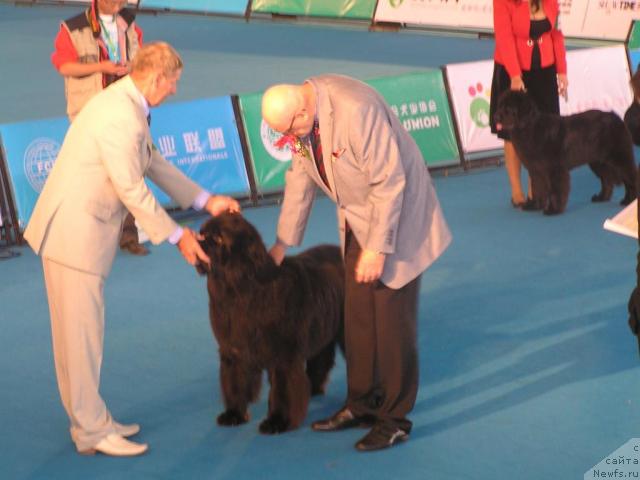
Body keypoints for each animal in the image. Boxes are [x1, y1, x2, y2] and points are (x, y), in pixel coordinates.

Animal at [195, 214, 344, 436]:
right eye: (203, 233)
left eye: (218, 238)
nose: (195, 241)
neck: (239, 289)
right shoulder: (233, 349)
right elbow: (234, 381)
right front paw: (233, 414)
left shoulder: (283, 354)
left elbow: (283, 390)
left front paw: (277, 421)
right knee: (321, 357)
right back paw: (313, 388)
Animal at [496, 91, 636, 215]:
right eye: (500, 106)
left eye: (508, 108)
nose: (495, 116)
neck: (529, 128)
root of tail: (617, 118)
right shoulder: (536, 170)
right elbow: (537, 188)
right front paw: (534, 205)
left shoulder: (554, 169)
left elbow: (555, 190)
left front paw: (553, 210)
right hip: (598, 162)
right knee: (607, 179)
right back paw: (602, 198)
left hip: (618, 157)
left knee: (630, 176)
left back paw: (629, 200)